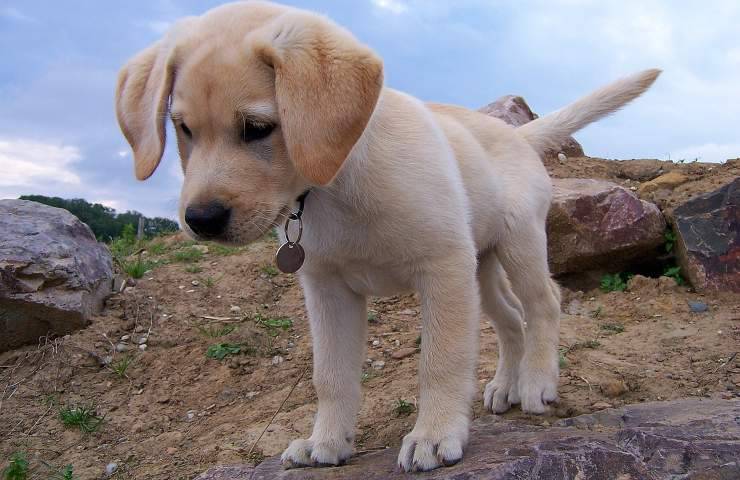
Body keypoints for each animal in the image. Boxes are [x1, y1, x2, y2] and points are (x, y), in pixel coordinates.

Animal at [115, 0, 660, 472]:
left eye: (257, 127)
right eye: (182, 128)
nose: (201, 219)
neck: (335, 183)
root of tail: (514, 133)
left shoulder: (442, 269)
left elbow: (441, 360)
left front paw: (435, 435)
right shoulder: (328, 290)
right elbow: (331, 376)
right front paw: (326, 441)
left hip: (517, 244)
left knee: (544, 303)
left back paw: (537, 383)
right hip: (479, 268)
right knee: (509, 320)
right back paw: (506, 384)